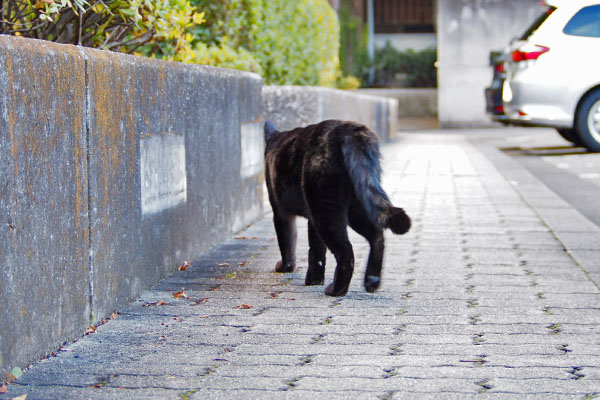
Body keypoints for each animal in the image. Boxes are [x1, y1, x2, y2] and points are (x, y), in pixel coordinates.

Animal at [264, 119, 410, 296]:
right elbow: (316, 251)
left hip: (326, 209)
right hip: (357, 204)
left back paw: (336, 289)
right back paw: (371, 281)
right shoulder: (311, 219)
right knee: (377, 236)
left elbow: (287, 241)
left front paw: (286, 267)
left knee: (346, 251)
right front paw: (314, 280)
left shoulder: (281, 212)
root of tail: (349, 130)